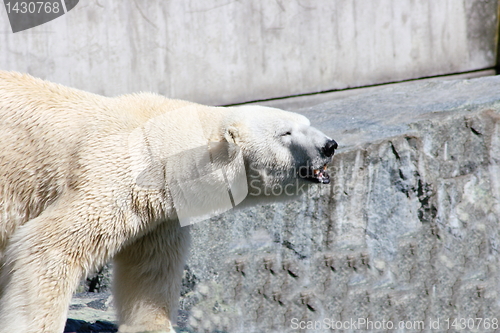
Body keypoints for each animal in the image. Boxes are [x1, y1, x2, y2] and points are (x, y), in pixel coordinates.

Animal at [0, 71, 338, 330]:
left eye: (307, 123)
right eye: (286, 133)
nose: (330, 145)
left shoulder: (158, 214)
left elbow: (149, 269)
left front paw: (153, 326)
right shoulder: (110, 178)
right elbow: (48, 248)